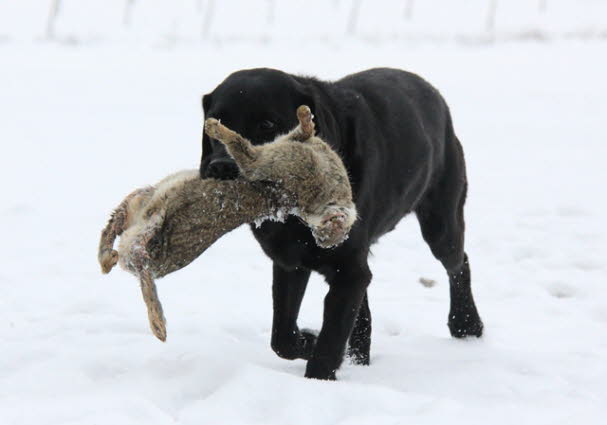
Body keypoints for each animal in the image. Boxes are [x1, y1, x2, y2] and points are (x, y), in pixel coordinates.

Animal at [200, 68, 484, 380]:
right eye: (214, 124)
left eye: (266, 124)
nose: (221, 167)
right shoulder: (291, 262)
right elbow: (282, 337)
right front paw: (309, 341)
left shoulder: (347, 270)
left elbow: (331, 338)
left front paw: (319, 376)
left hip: (441, 224)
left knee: (459, 262)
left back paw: (466, 324)